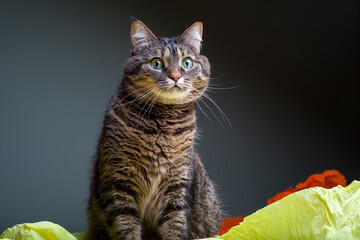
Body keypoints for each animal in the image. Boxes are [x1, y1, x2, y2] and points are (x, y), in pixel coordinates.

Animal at [87, 19, 222, 239]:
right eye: (156, 63)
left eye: (187, 63)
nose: (175, 76)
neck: (162, 126)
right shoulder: (118, 182)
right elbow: (126, 227)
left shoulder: (177, 184)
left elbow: (175, 224)